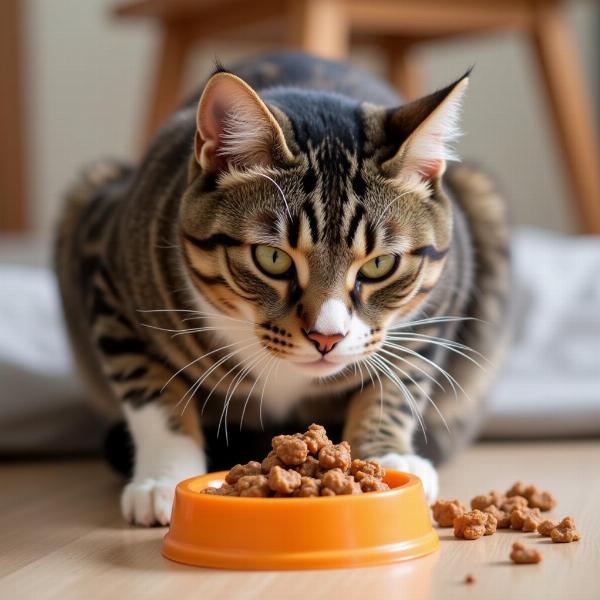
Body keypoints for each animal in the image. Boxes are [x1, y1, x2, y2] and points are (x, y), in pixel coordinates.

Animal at [55, 54, 510, 528]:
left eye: (380, 264)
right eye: (272, 258)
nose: (327, 337)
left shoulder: (438, 307)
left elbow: (400, 380)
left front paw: (388, 456)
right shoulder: (113, 286)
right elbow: (149, 389)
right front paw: (162, 479)